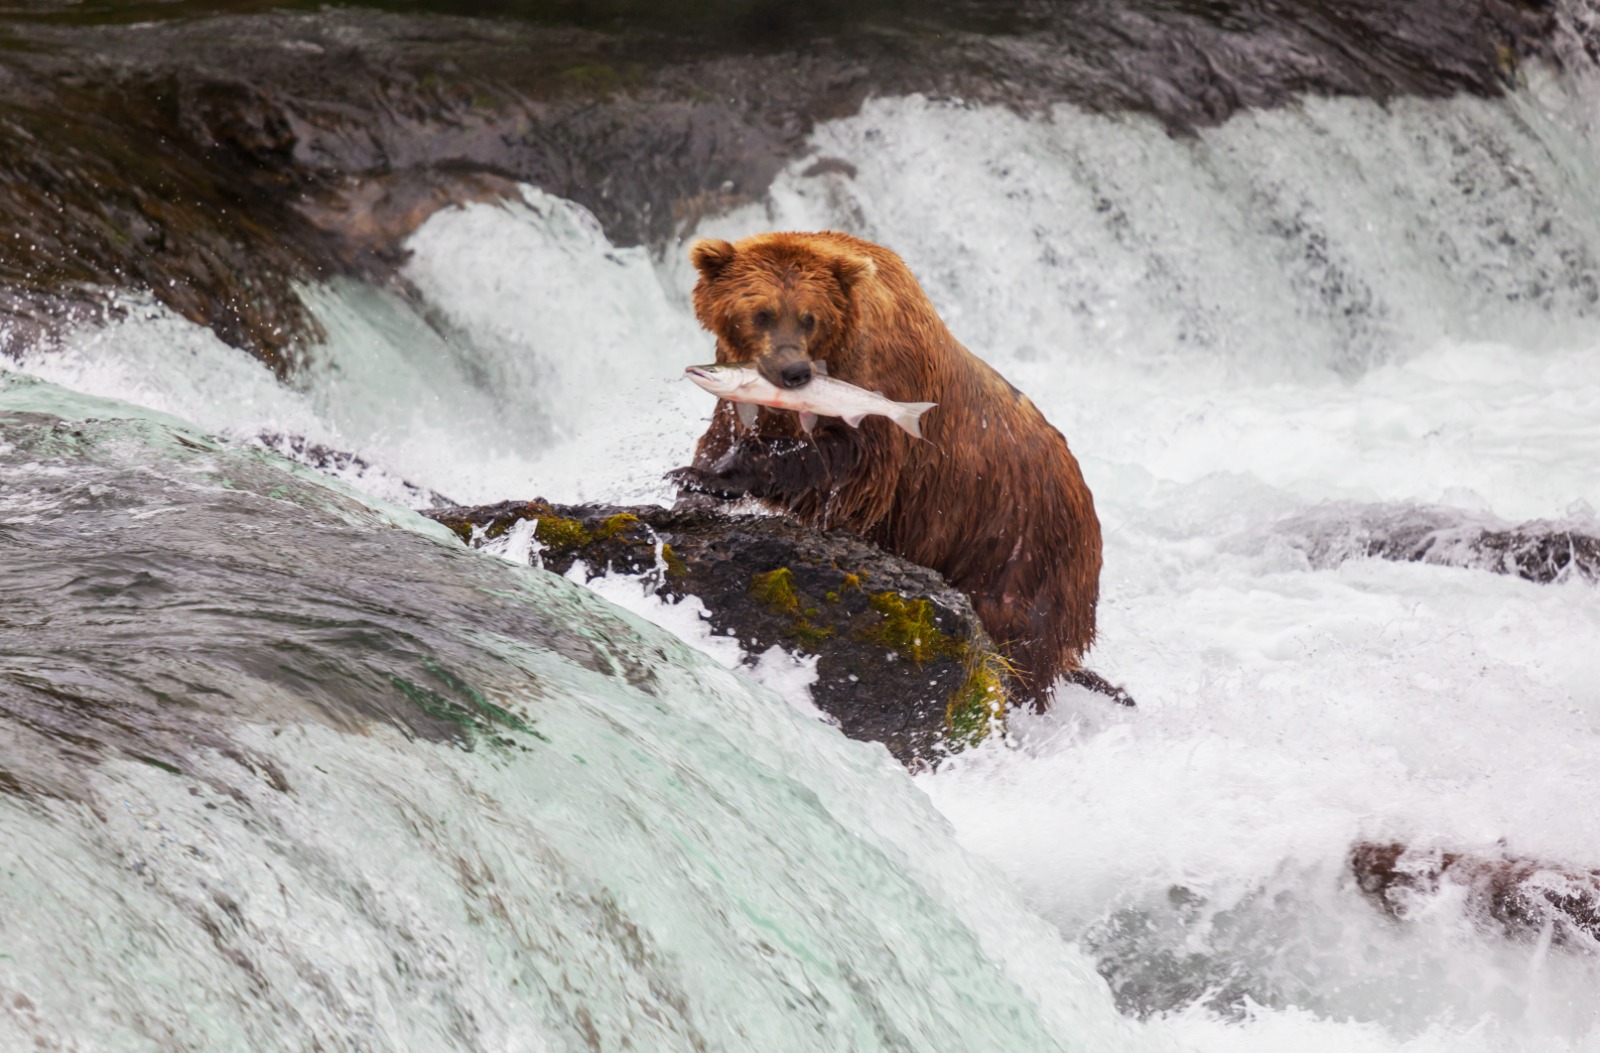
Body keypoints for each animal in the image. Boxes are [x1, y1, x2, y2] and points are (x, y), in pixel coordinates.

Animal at [668, 230, 1107, 704]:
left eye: (809, 318)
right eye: (761, 312)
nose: (794, 372)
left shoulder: (881, 389)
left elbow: (845, 463)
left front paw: (711, 476)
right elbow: (721, 435)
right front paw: (693, 486)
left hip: (1021, 552)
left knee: (1020, 649)